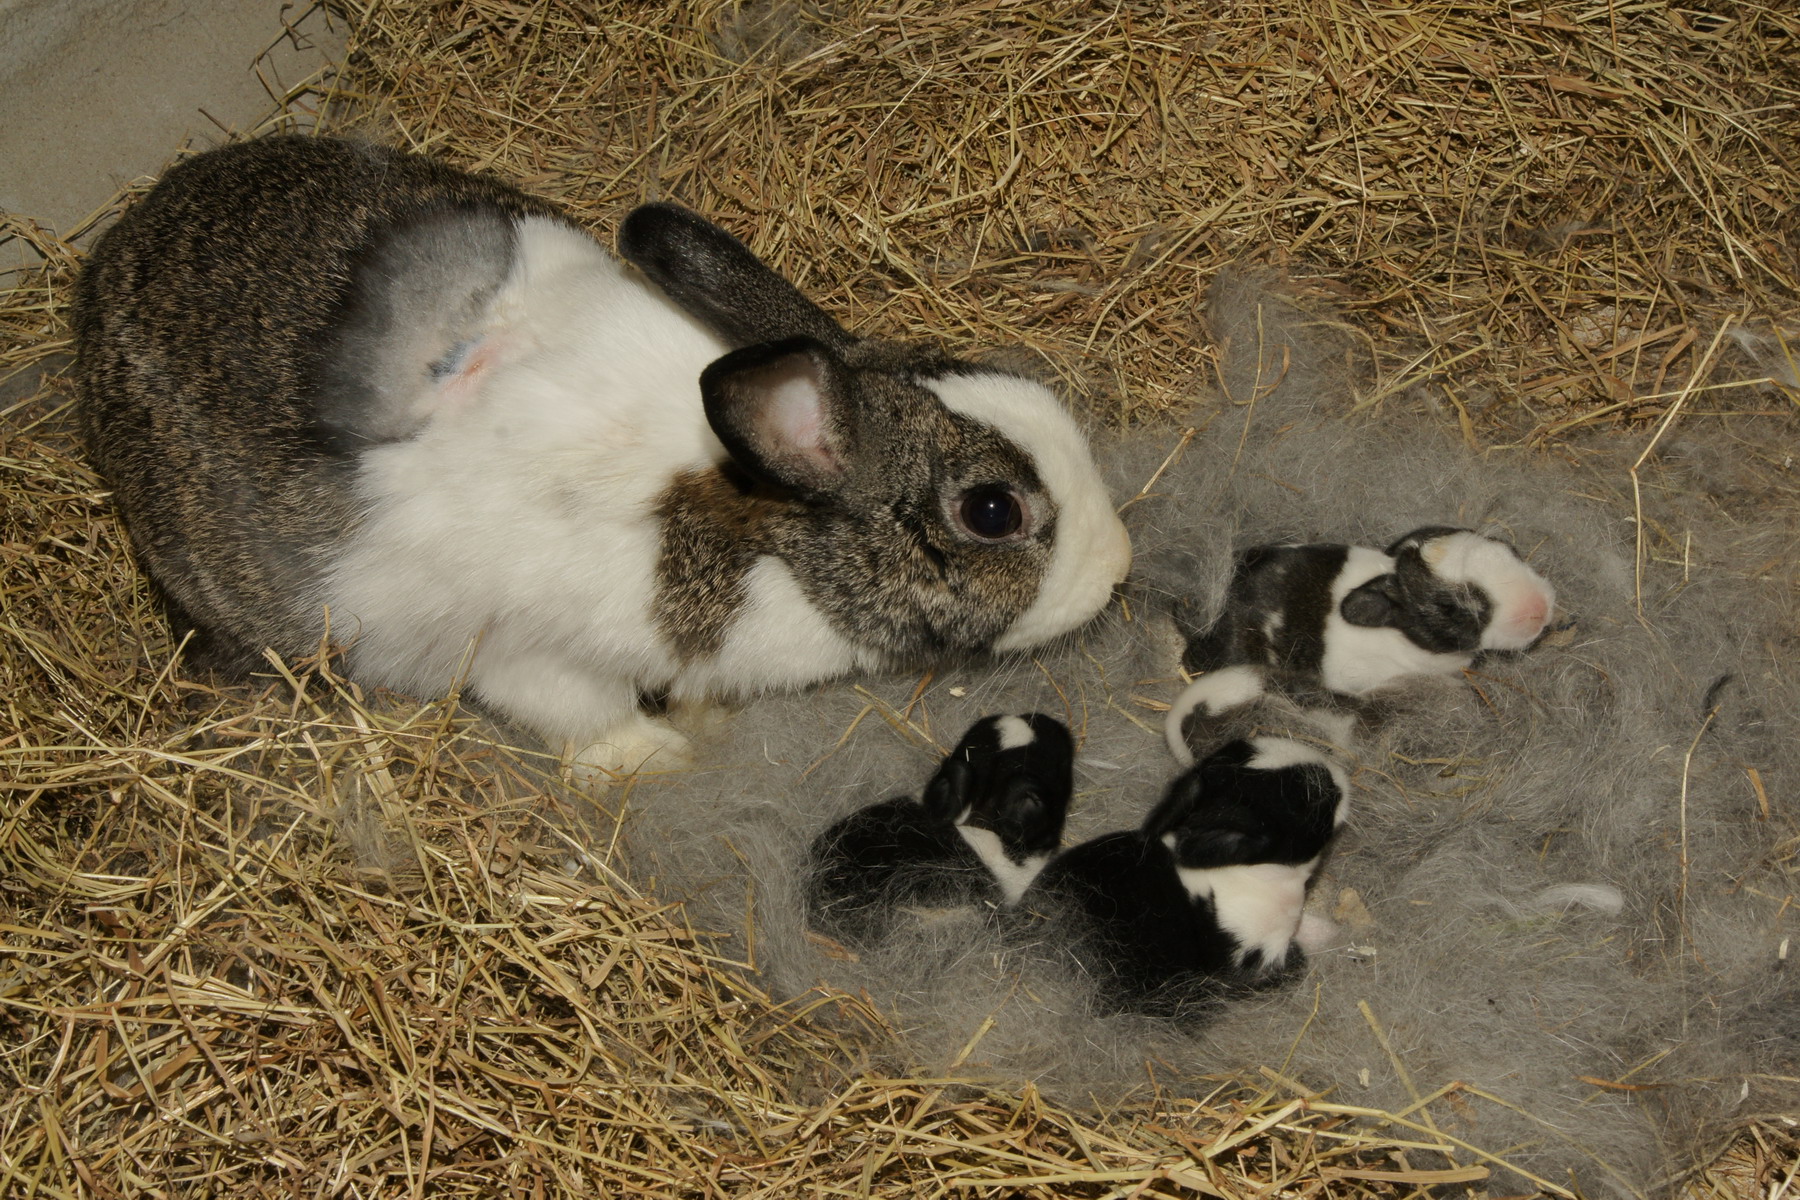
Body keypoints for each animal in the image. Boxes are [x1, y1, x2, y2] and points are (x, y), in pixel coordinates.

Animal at [81, 138, 1137, 780]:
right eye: (992, 511)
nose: (1120, 566)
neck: (751, 513)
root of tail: (102, 269)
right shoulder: (526, 651)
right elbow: (582, 714)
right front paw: (659, 762)